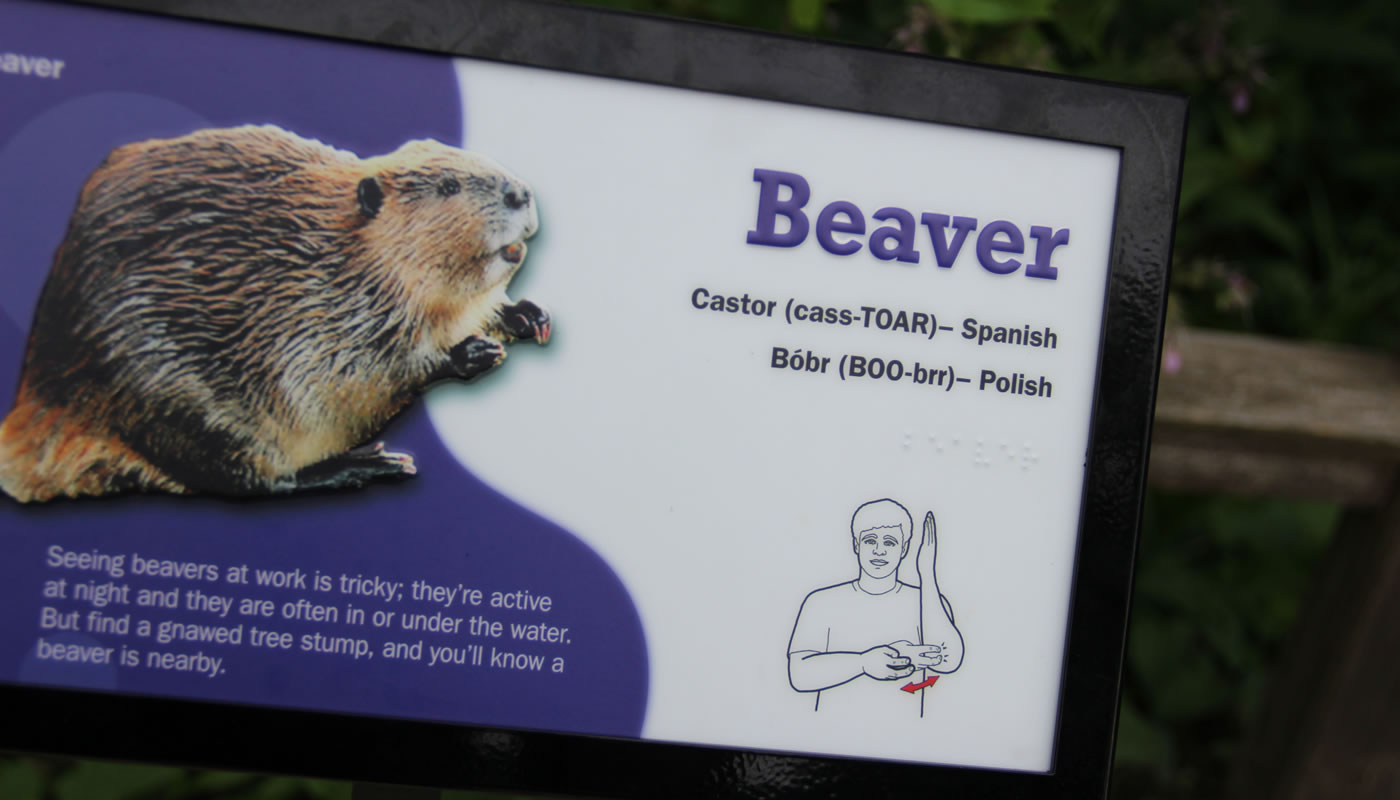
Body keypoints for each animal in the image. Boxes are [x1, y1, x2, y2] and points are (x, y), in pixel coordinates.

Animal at [0, 124, 548, 501]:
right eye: (448, 188)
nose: (521, 192)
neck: (343, 252)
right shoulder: (308, 310)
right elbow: (367, 369)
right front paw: (472, 352)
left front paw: (529, 316)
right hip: (174, 401)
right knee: (247, 480)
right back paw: (367, 465)